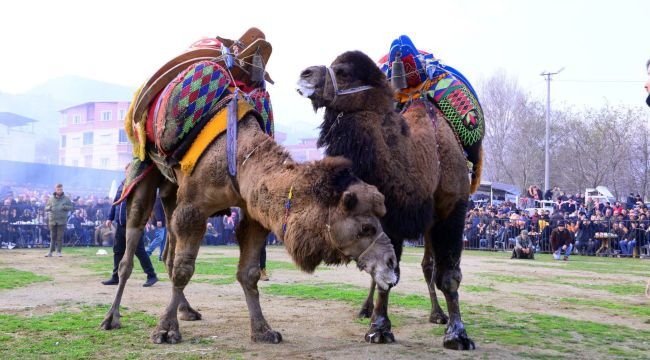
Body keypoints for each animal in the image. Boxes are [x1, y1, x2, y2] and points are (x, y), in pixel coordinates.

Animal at [98, 111, 398, 344]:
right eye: (366, 228)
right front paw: (165, 331)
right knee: (132, 244)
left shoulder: (253, 211)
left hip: (171, 191)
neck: (240, 158)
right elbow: (185, 269)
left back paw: (187, 310)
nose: (391, 263)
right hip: (144, 169)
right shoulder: (193, 207)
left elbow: (249, 273)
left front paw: (263, 331)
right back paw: (111, 317)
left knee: (169, 252)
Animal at [298, 50, 476, 348]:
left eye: (343, 72)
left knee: (429, 266)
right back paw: (366, 310)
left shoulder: (453, 210)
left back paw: (438, 315)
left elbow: (449, 276)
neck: (426, 158)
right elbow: (386, 274)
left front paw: (458, 335)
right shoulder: (389, 218)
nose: (305, 73)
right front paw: (379, 329)